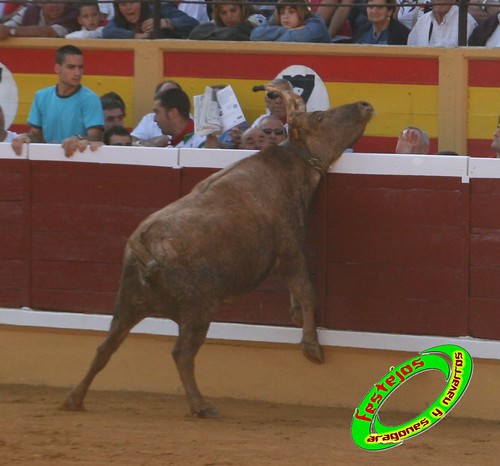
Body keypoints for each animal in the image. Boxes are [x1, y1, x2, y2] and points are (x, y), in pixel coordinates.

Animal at [62, 86, 372, 416]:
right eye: (320, 117)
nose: (364, 105)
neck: (290, 166)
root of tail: (142, 243)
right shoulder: (290, 251)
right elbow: (307, 291)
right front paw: (312, 347)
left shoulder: (287, 256)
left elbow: (297, 291)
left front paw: (296, 316)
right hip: (198, 308)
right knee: (181, 354)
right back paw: (201, 405)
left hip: (127, 304)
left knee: (105, 347)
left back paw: (75, 398)